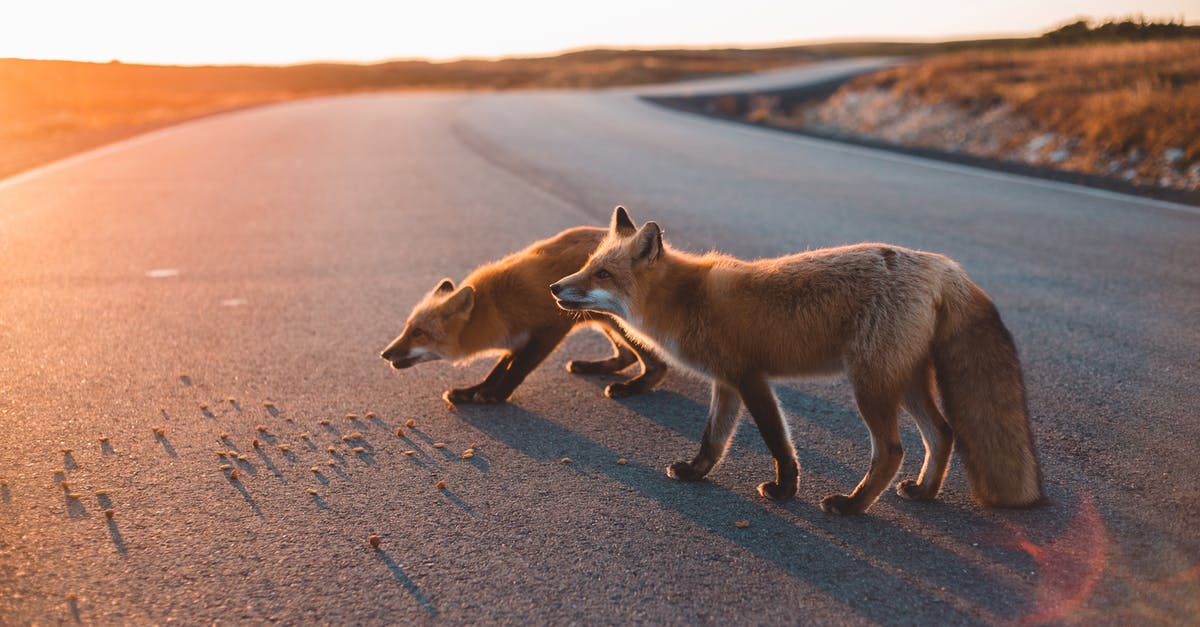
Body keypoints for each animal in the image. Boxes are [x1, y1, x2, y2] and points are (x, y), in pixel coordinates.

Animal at [381, 223, 667, 401]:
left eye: (419, 333)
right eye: (407, 328)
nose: (384, 353)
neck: (495, 304)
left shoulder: (551, 328)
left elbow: (518, 368)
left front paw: (494, 396)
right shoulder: (516, 337)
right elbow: (498, 369)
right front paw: (471, 392)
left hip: (618, 320)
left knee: (658, 365)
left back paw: (631, 386)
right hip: (604, 320)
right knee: (626, 356)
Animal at [552, 206, 1041, 511]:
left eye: (602, 274)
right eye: (590, 264)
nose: (555, 287)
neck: (688, 300)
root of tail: (941, 264)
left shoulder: (750, 378)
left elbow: (778, 442)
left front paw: (785, 490)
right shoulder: (725, 382)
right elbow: (713, 439)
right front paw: (694, 472)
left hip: (871, 386)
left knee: (892, 450)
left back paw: (853, 506)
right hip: (904, 380)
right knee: (942, 434)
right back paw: (923, 493)